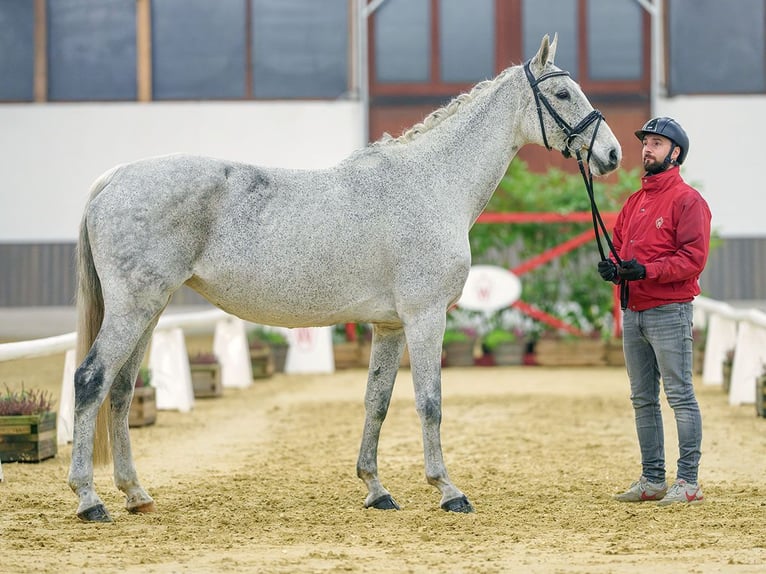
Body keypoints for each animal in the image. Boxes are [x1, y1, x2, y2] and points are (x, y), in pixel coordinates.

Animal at [69, 33, 624, 524]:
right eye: (561, 93)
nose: (613, 154)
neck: (432, 184)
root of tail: (114, 177)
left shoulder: (390, 326)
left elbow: (376, 402)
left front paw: (376, 489)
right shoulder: (425, 318)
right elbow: (430, 402)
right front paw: (447, 490)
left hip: (150, 311)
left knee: (120, 391)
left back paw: (136, 494)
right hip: (134, 309)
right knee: (90, 380)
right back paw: (89, 500)